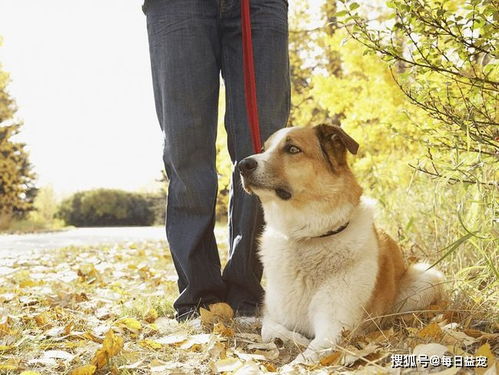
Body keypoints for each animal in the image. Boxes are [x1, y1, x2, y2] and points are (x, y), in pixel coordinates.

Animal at [238, 125, 446, 364]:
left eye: (292, 149)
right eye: (264, 149)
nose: (243, 165)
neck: (307, 239)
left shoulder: (335, 328)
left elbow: (304, 358)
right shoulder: (274, 314)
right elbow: (268, 329)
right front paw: (294, 339)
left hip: (428, 278)